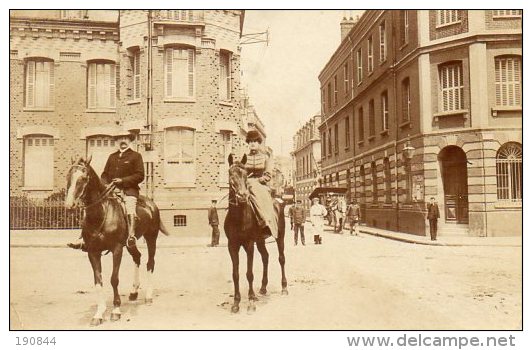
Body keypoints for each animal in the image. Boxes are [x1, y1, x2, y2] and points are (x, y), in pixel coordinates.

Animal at [65, 156, 168, 326]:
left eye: (84, 178)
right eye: (68, 177)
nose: (69, 205)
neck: (101, 213)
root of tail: (151, 203)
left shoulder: (117, 249)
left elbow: (114, 279)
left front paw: (116, 310)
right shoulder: (93, 252)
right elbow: (98, 280)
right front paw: (99, 314)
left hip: (151, 237)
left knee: (150, 263)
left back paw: (148, 296)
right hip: (130, 244)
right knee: (137, 257)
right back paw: (133, 292)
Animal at [223, 154, 286, 314]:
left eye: (246, 175)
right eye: (231, 174)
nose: (242, 196)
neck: (238, 217)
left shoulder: (249, 244)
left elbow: (249, 273)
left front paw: (251, 301)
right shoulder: (232, 245)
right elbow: (236, 274)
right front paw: (236, 303)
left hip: (280, 236)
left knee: (281, 259)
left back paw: (284, 287)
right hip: (260, 240)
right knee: (265, 257)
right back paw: (263, 288)